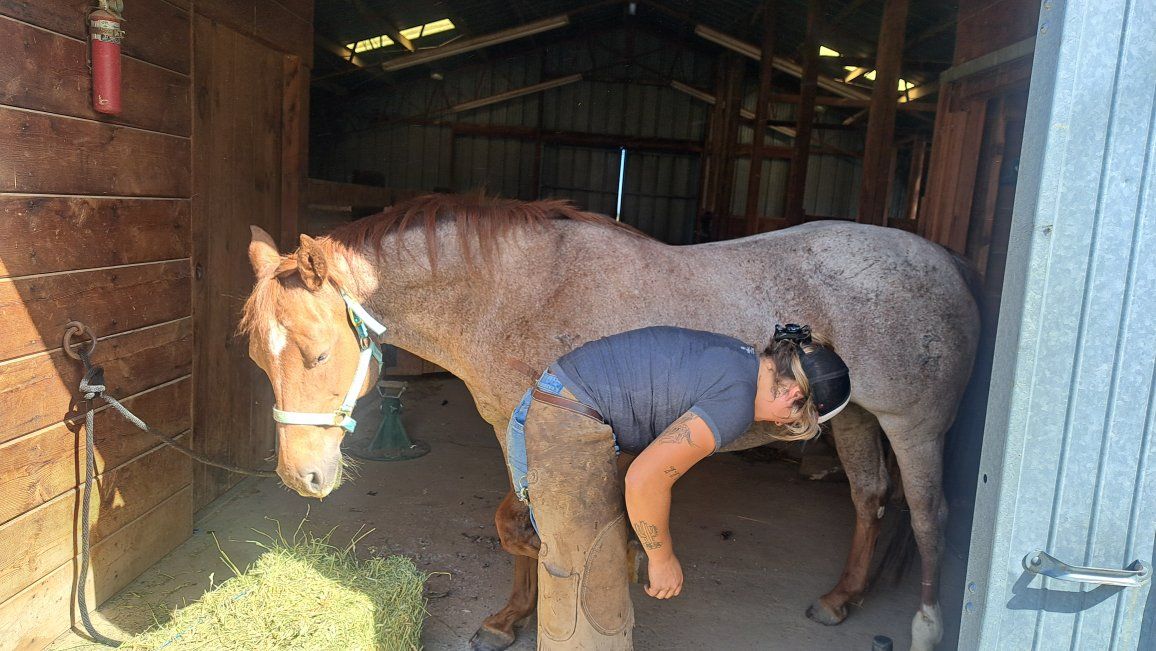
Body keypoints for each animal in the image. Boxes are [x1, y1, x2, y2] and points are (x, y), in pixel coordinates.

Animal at [240, 193, 979, 651]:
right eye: (256, 355)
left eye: (319, 352)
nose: (303, 476)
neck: (514, 295)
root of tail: (945, 260)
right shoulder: (516, 432)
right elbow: (516, 524)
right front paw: (510, 618)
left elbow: (532, 527)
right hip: (855, 418)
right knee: (868, 499)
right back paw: (841, 597)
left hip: (914, 428)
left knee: (927, 516)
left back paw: (926, 625)